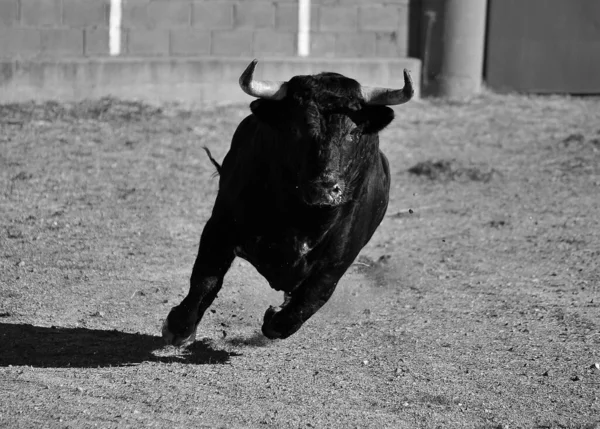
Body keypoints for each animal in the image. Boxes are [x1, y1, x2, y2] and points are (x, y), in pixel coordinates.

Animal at [161, 60, 412, 344]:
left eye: (353, 132)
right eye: (295, 129)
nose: (324, 188)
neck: (301, 217)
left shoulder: (339, 257)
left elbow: (312, 297)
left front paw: (275, 318)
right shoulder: (220, 226)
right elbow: (206, 279)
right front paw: (178, 327)